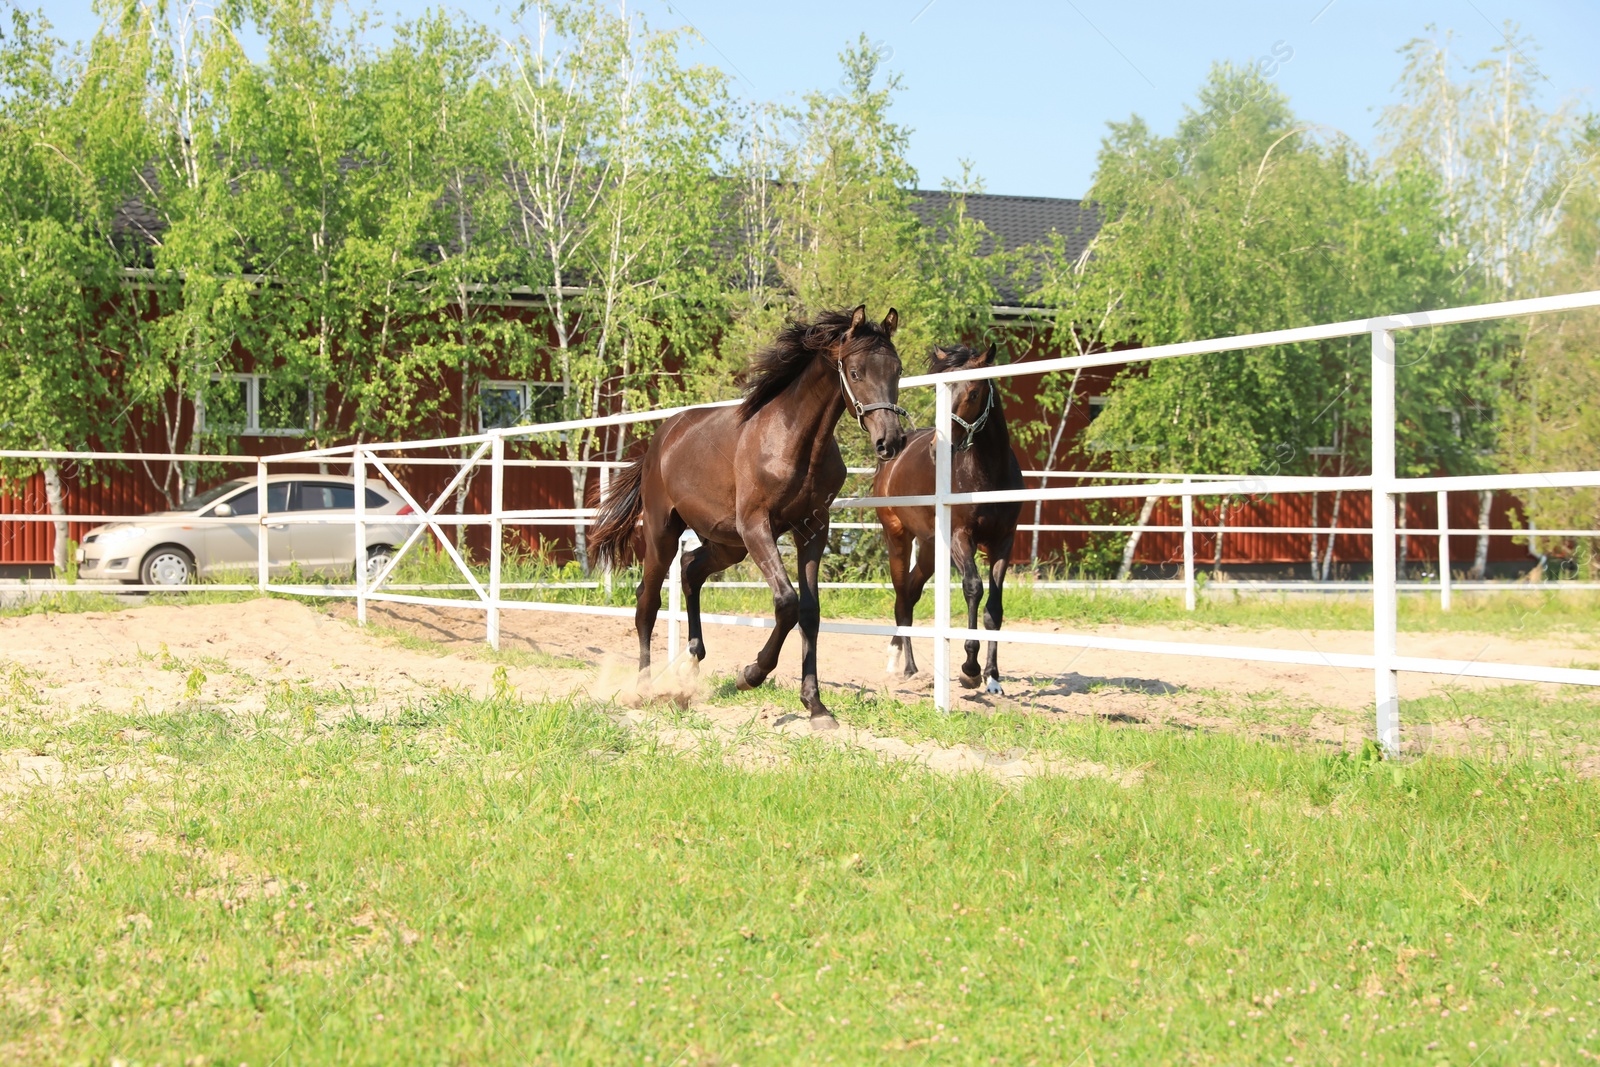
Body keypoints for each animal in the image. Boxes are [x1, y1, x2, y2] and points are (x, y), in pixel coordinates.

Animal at [592, 303, 915, 729]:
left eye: (896, 369)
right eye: (857, 371)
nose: (890, 441)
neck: (795, 442)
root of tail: (658, 442)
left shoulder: (813, 529)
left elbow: (809, 612)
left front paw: (816, 707)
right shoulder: (756, 526)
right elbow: (787, 603)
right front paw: (752, 674)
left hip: (726, 544)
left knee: (691, 570)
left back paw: (692, 662)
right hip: (664, 534)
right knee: (647, 600)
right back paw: (643, 689)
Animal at [876, 342, 1024, 694]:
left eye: (973, 392)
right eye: (940, 390)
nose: (935, 449)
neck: (988, 474)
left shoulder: (1004, 541)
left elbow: (994, 608)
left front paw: (993, 677)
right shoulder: (961, 537)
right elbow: (973, 587)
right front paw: (970, 668)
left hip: (930, 548)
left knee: (911, 592)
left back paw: (906, 662)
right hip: (897, 538)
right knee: (902, 597)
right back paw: (903, 664)